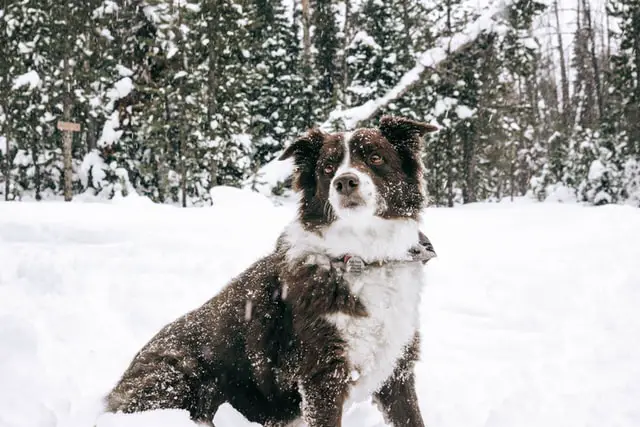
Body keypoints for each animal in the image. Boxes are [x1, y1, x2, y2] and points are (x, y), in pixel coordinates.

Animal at [105, 115, 438, 426]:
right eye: (327, 168)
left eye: (375, 158)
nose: (344, 182)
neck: (360, 257)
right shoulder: (322, 376)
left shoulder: (397, 369)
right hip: (182, 375)